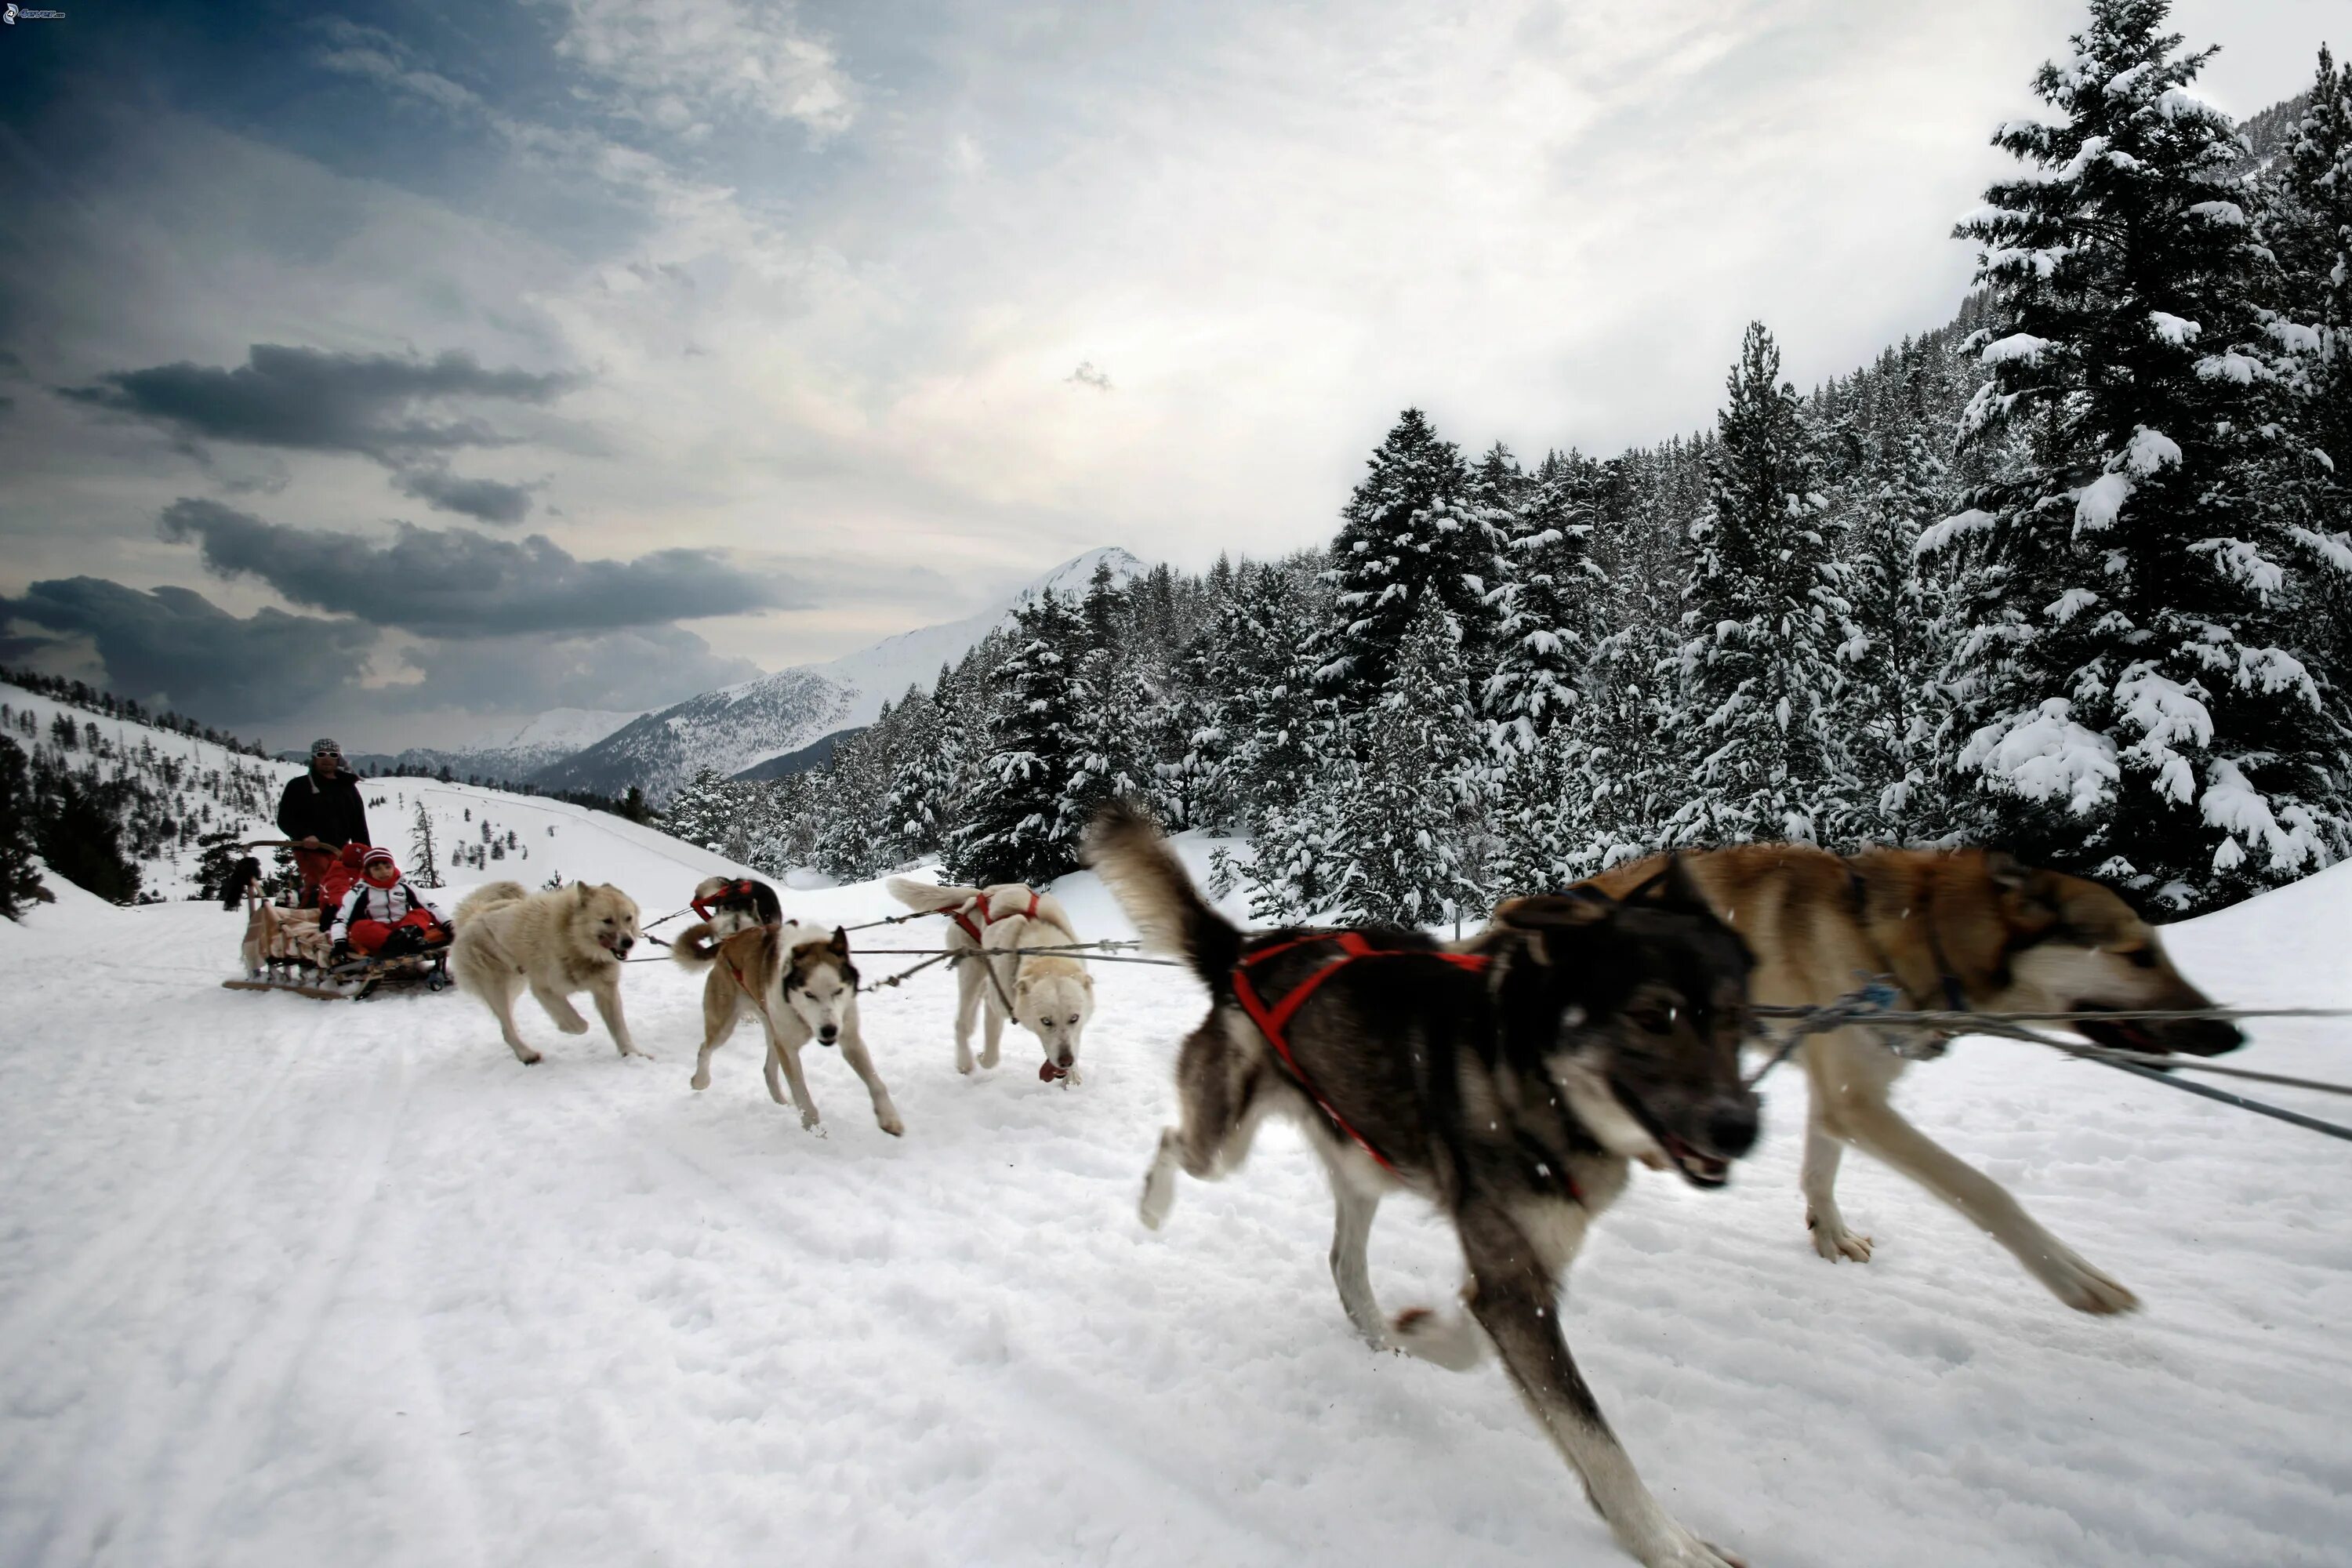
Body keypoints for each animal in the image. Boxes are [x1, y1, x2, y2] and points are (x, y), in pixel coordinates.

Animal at [447, 884, 644, 1067]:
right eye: (607, 920)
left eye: (628, 918)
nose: (628, 942)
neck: (574, 941)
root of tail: (473, 915)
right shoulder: (544, 989)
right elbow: (579, 1024)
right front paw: (567, 1027)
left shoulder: (606, 990)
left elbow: (619, 1028)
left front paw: (632, 1053)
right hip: (496, 988)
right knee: (506, 1030)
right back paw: (527, 1054)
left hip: (515, 984)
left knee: (508, 1023)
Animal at [682, 921, 908, 1142]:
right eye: (809, 994)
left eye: (838, 991)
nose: (829, 1030)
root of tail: (728, 942)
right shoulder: (789, 1049)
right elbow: (802, 1095)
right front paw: (814, 1130)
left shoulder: (850, 1039)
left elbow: (876, 1083)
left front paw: (889, 1118)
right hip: (726, 1023)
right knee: (705, 1048)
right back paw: (700, 1080)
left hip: (772, 1032)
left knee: (768, 1070)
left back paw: (781, 1102)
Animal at [884, 879, 1096, 1086]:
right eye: (1046, 1021)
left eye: (1074, 1018)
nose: (1066, 1061)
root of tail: (978, 895)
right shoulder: (995, 1005)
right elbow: (992, 1055)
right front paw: (982, 1058)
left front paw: (1072, 1077)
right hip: (971, 972)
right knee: (962, 1023)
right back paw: (965, 1061)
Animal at [1077, 808, 1750, 1568]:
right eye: (1651, 1016)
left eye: (1736, 1017)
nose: (1742, 1127)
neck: (1531, 1069)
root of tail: (1246, 952)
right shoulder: (1512, 1284)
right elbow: (1593, 1436)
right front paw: (1668, 1544)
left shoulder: (1520, 1274)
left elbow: (1477, 1335)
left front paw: (1424, 1331)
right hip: (1224, 1144)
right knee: (1174, 1145)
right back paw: (1152, 1205)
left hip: (1364, 1162)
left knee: (1343, 1263)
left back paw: (1382, 1337)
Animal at [1581, 846, 2239, 1316]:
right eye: (2139, 956)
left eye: (2157, 950)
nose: (2230, 1033)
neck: (1911, 937)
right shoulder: (1859, 1104)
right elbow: (1983, 1190)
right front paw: (2071, 1273)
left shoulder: (1838, 1094)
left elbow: (1820, 1172)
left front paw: (1831, 1236)